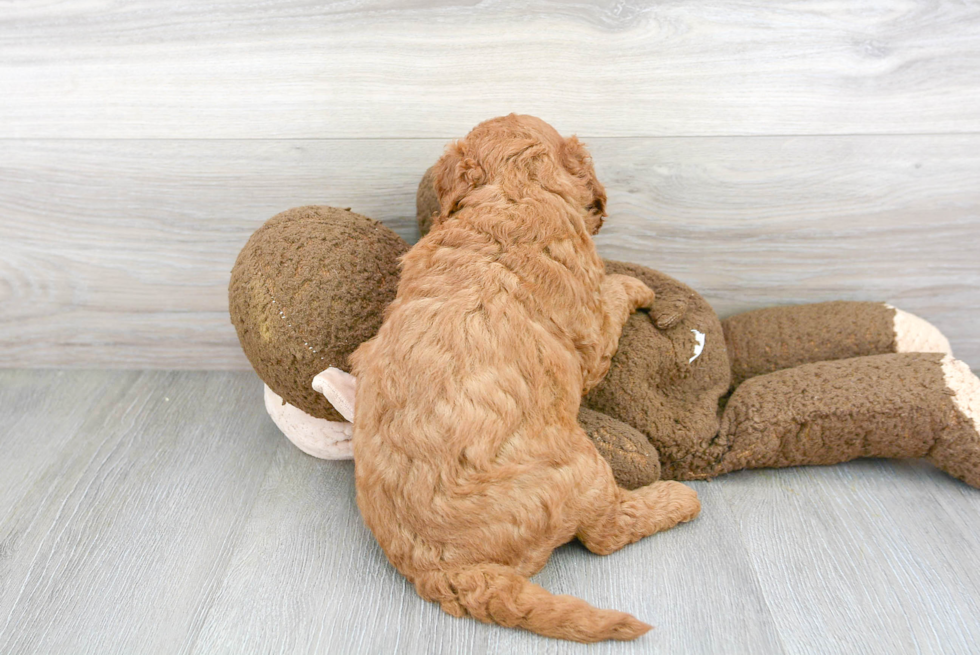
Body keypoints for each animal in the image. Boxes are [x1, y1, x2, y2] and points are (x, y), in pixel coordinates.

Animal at [348, 115, 700, 644]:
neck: (512, 194)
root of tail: (440, 570)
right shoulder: (593, 333)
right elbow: (612, 296)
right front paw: (636, 286)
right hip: (581, 469)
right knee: (606, 532)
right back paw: (678, 498)